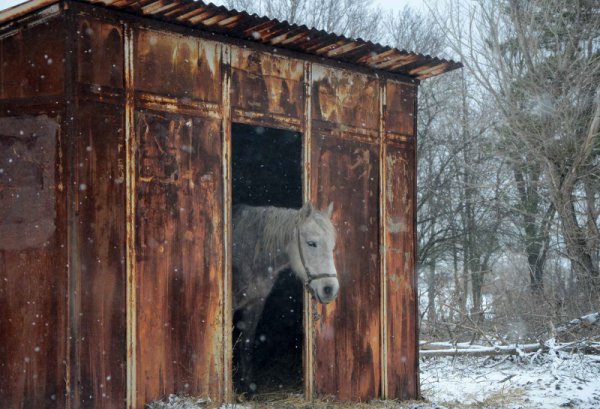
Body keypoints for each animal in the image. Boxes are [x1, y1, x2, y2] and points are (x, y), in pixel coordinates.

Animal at [232, 200, 338, 392]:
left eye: (332, 246)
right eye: (312, 243)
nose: (330, 289)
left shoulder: (255, 304)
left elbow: (247, 344)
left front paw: (248, 388)